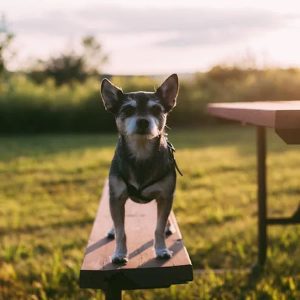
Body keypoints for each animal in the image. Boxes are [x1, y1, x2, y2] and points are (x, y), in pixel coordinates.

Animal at [101, 74, 180, 264]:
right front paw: (119, 254)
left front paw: (161, 250)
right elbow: (121, 231)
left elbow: (158, 228)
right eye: (128, 110)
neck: (141, 153)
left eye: (156, 110)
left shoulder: (165, 196)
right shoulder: (116, 197)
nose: (143, 121)